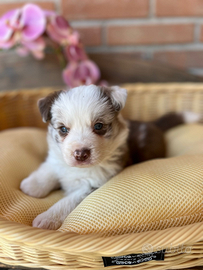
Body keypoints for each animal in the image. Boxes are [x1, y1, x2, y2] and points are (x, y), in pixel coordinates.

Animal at [20, 85, 198, 230]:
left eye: (98, 126)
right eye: (63, 129)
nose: (80, 154)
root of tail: (153, 124)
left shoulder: (93, 185)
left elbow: (68, 201)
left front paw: (47, 218)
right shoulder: (58, 158)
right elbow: (50, 168)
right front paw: (32, 186)